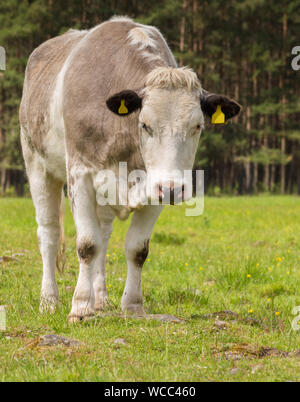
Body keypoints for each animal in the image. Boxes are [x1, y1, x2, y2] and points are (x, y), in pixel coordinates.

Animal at [19, 16, 241, 324]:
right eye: (145, 125)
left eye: (197, 126)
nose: (174, 189)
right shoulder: (80, 174)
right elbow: (86, 245)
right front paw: (80, 307)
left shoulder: (155, 186)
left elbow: (136, 249)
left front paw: (133, 305)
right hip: (37, 165)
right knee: (49, 234)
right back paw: (49, 301)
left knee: (103, 234)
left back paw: (101, 300)